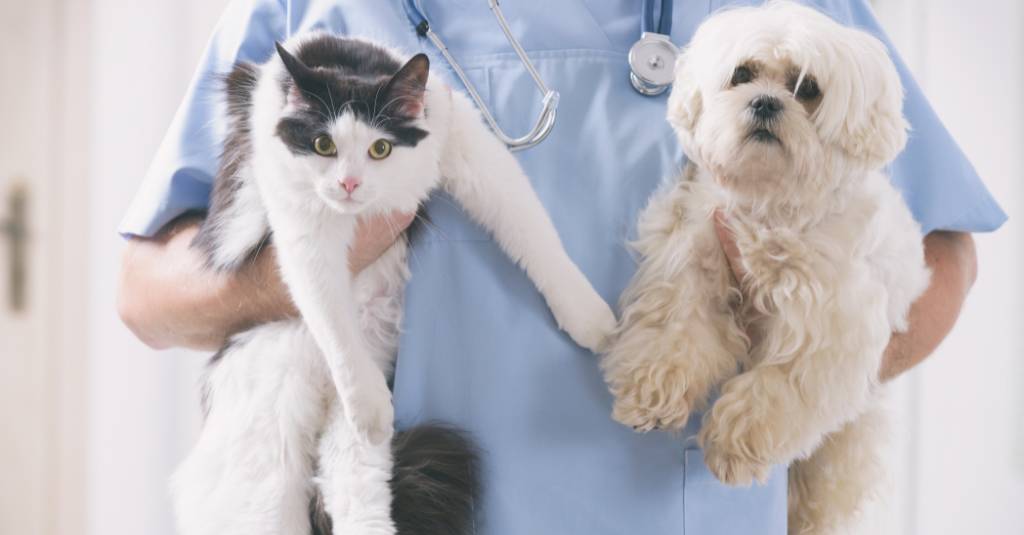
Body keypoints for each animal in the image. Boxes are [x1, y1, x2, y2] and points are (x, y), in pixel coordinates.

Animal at [172, 33, 614, 532]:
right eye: (323, 144)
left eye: (380, 149)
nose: (348, 183)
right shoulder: (303, 228)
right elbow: (331, 317)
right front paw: (366, 401)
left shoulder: (463, 141)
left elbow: (531, 229)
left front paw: (587, 316)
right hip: (263, 459)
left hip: (343, 443)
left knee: (356, 495)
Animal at [602, 2, 933, 528]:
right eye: (742, 74)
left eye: (808, 88)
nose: (764, 103)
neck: (770, 204)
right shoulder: (693, 260)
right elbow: (674, 334)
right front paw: (651, 393)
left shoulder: (826, 327)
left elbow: (776, 390)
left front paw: (734, 446)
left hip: (845, 448)